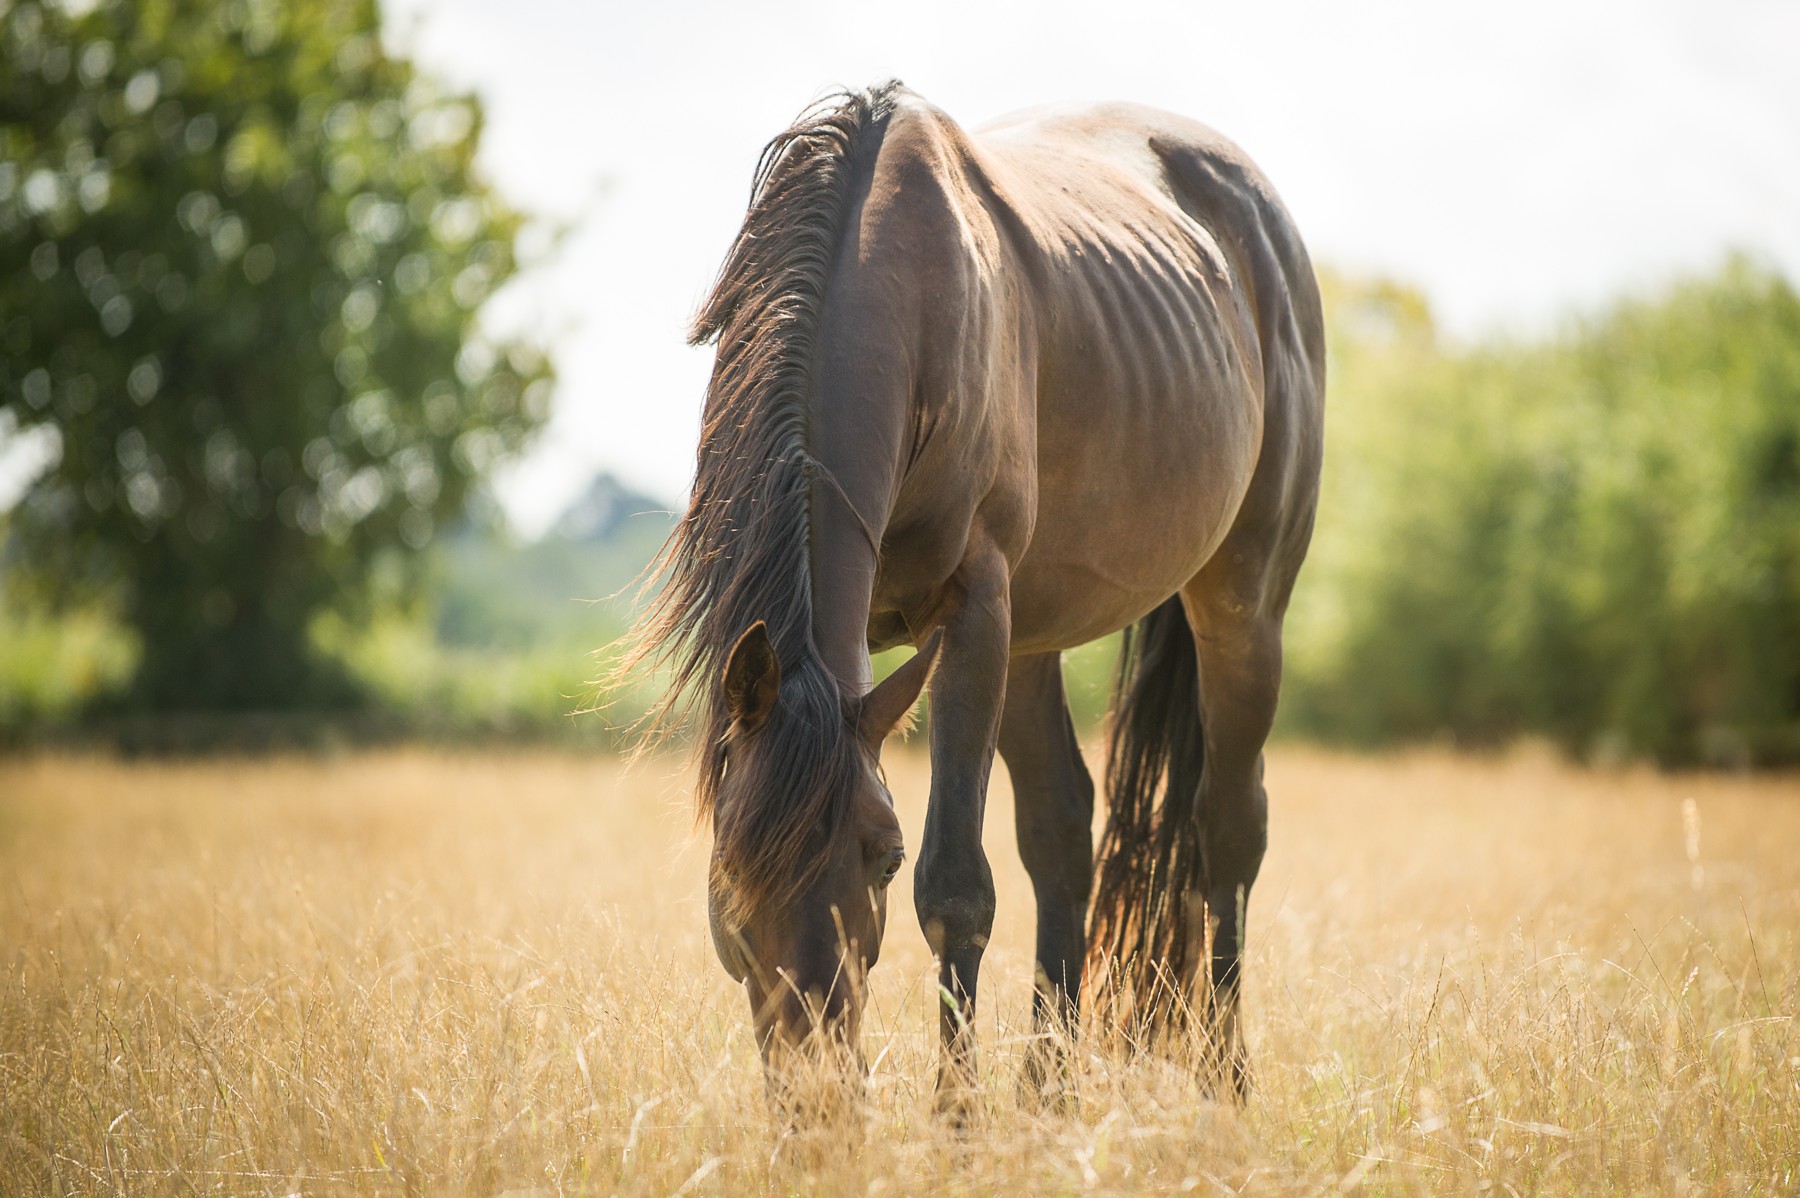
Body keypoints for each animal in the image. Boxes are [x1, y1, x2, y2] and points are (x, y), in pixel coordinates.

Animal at [628, 80, 1324, 1100]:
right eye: (730, 865)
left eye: (883, 856)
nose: (815, 1095)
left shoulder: (971, 611)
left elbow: (957, 890)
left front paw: (956, 1123)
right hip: (1033, 641)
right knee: (1064, 834)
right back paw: (1047, 1099)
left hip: (1241, 608)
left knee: (1229, 831)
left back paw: (1223, 1086)